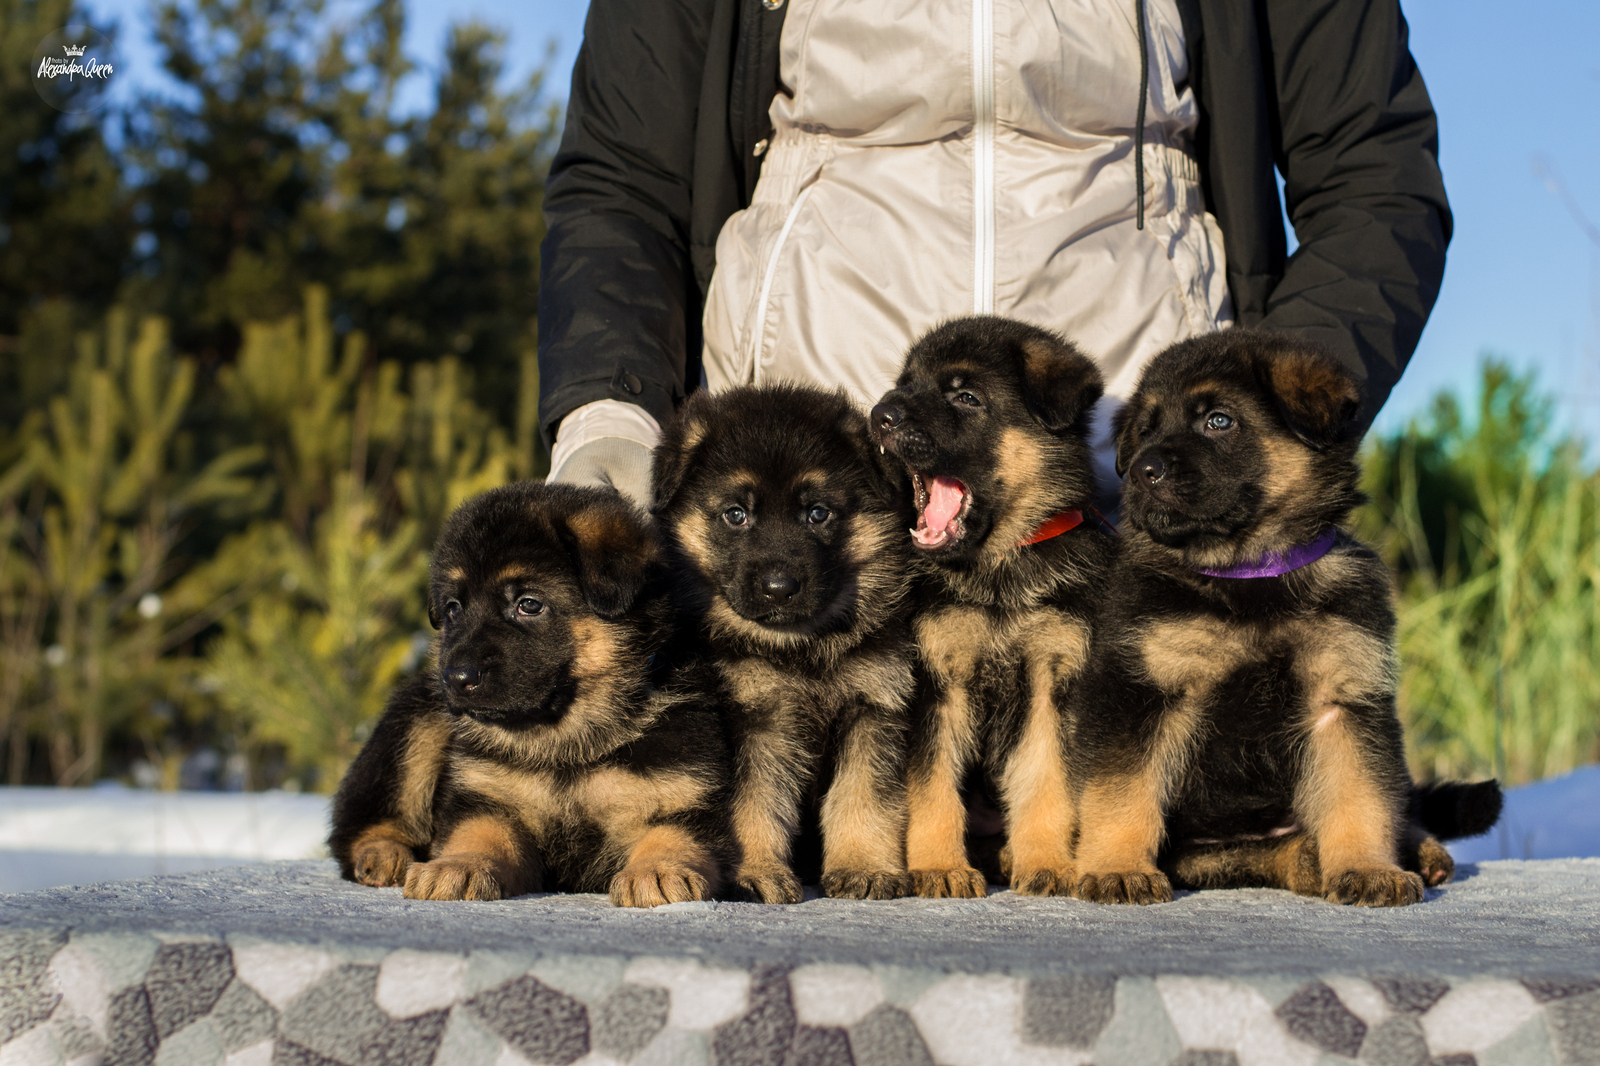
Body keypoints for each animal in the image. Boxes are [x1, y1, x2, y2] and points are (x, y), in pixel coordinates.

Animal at [331, 480, 732, 902]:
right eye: (454, 608)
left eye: (529, 604)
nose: (456, 678)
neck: (565, 739)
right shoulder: (487, 798)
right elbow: (482, 834)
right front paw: (459, 865)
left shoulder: (682, 796)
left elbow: (673, 835)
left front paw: (657, 870)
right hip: (417, 721)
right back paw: (384, 854)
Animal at [649, 382, 921, 896]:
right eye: (736, 515)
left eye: (818, 513)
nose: (779, 587)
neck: (802, 649)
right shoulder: (751, 720)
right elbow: (753, 801)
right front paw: (754, 873)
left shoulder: (872, 707)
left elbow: (863, 793)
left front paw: (864, 866)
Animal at [870, 316, 1120, 896]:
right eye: (904, 385)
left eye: (966, 397)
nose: (879, 415)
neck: (997, 569)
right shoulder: (938, 681)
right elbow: (933, 785)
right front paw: (938, 866)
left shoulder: (1052, 679)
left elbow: (1045, 778)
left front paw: (1046, 861)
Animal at [1062, 328, 1497, 902]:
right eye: (1145, 431)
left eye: (1218, 420)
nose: (1141, 470)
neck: (1252, 572)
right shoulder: (1137, 692)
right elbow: (1120, 791)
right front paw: (1117, 867)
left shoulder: (1343, 697)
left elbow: (1360, 794)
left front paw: (1367, 867)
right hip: (1202, 851)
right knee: (1251, 855)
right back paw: (1307, 859)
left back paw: (1416, 851)